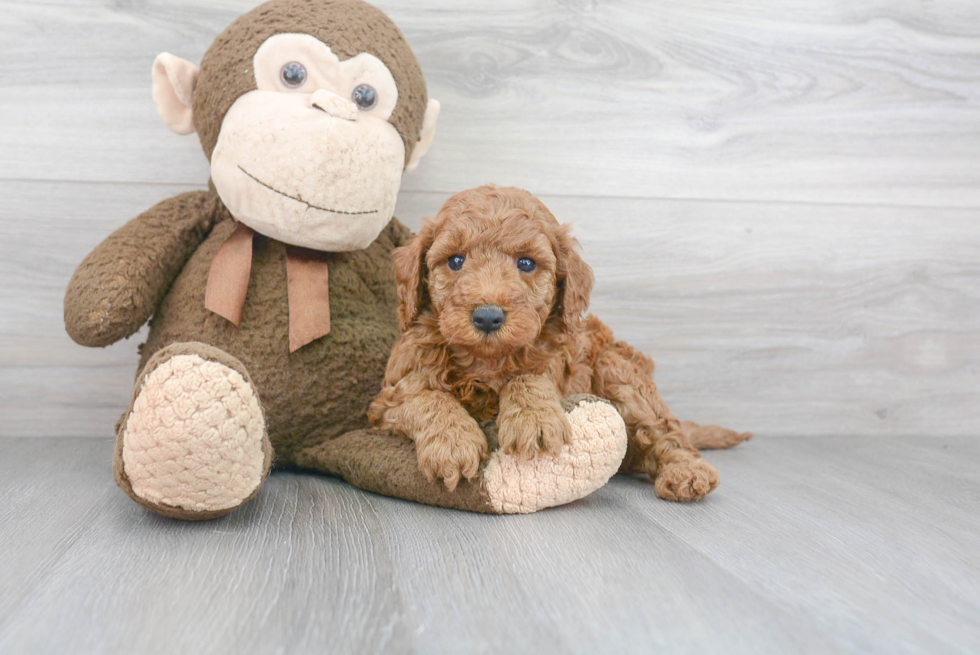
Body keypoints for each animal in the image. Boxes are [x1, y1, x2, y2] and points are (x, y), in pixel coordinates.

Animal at [368, 184, 752, 502]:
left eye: (526, 263)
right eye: (455, 261)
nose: (488, 317)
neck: (487, 362)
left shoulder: (558, 361)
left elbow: (529, 378)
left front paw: (533, 420)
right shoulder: (388, 400)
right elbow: (426, 399)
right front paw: (452, 443)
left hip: (618, 371)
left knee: (665, 432)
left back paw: (686, 472)